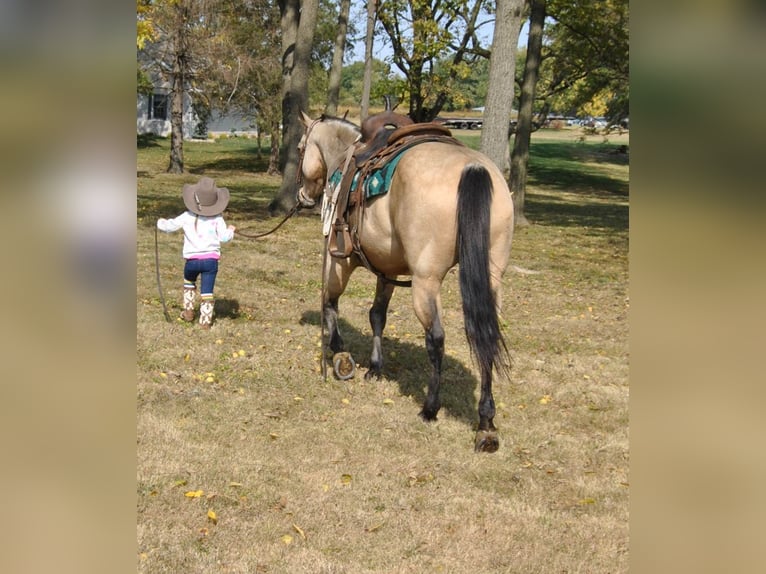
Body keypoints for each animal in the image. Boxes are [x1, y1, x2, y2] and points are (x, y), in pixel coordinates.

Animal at [294, 110, 516, 452]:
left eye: (300, 148)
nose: (302, 196)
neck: (343, 157)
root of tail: (473, 168)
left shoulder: (339, 258)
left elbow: (329, 301)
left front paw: (339, 353)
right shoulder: (387, 268)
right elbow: (377, 315)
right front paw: (375, 367)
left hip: (426, 281)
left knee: (436, 339)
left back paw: (430, 408)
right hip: (491, 277)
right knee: (486, 334)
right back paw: (486, 423)